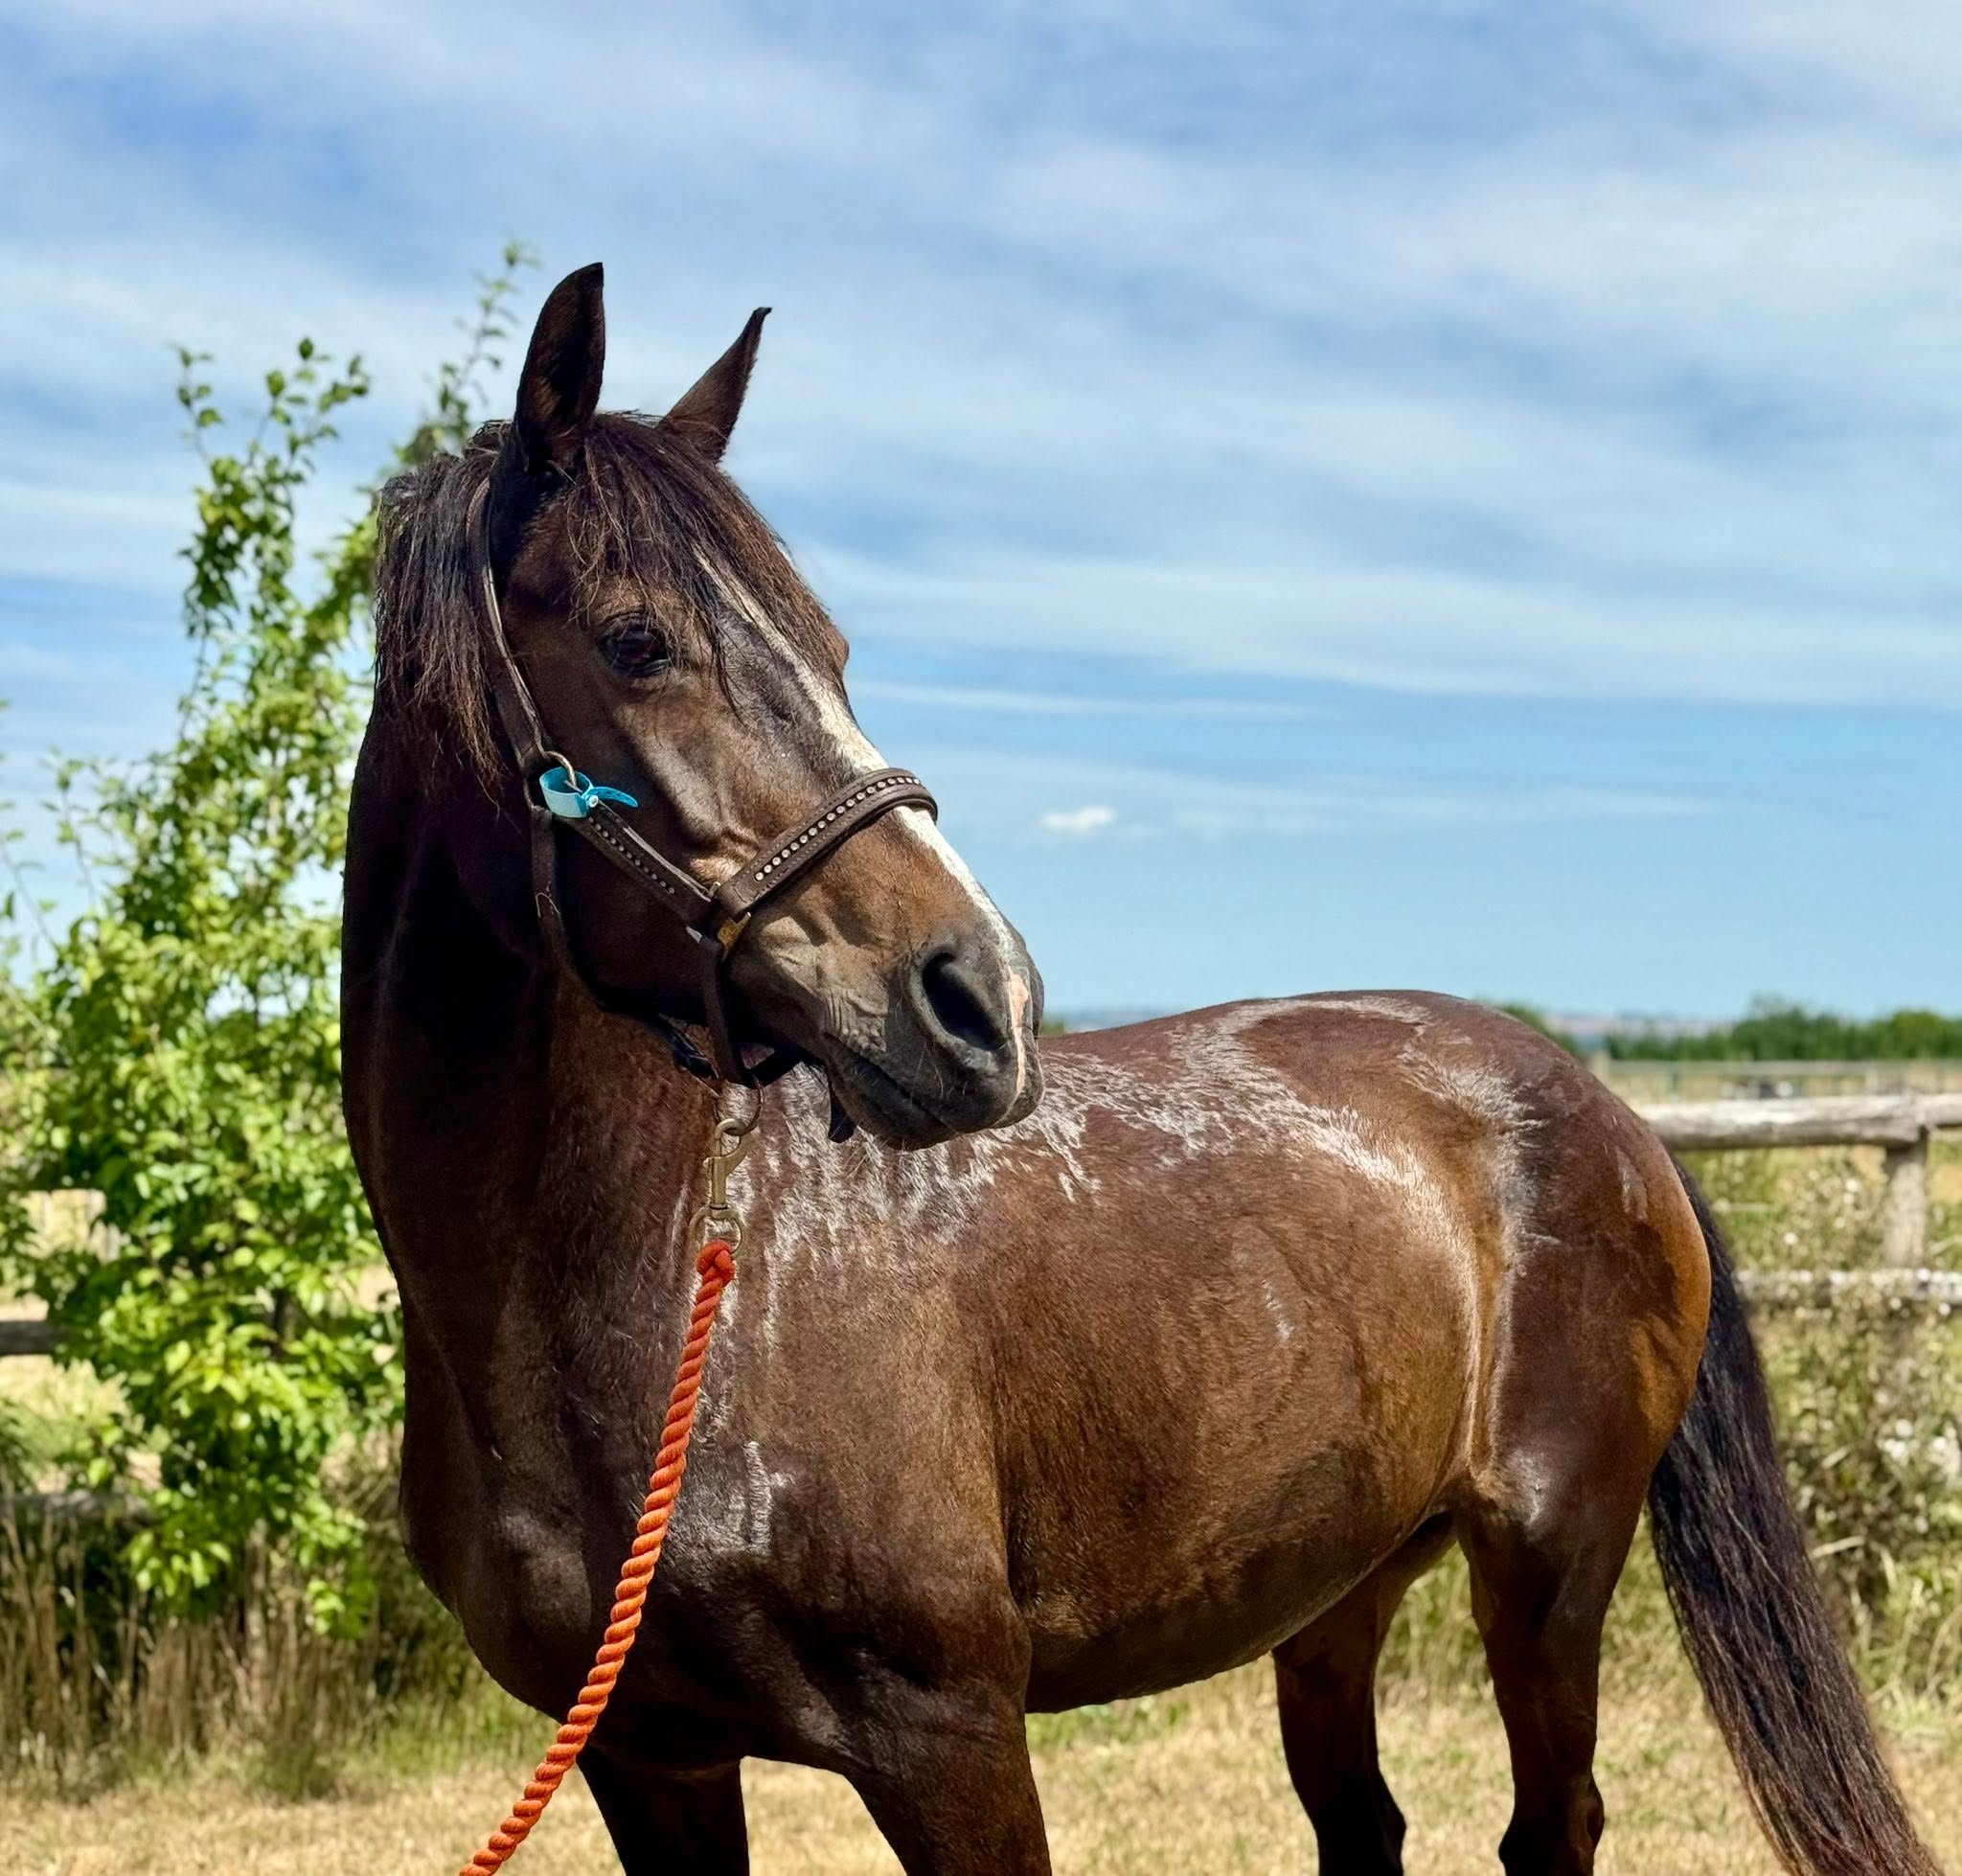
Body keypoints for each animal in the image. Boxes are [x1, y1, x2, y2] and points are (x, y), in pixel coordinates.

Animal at [342, 264, 1939, 1876]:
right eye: (636, 640)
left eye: (834, 651)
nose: (982, 1000)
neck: (662, 1297)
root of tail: (1616, 1117)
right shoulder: (649, 1760)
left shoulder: (949, 1738)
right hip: (1338, 1584)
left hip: (1548, 1572)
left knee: (1552, 1823)